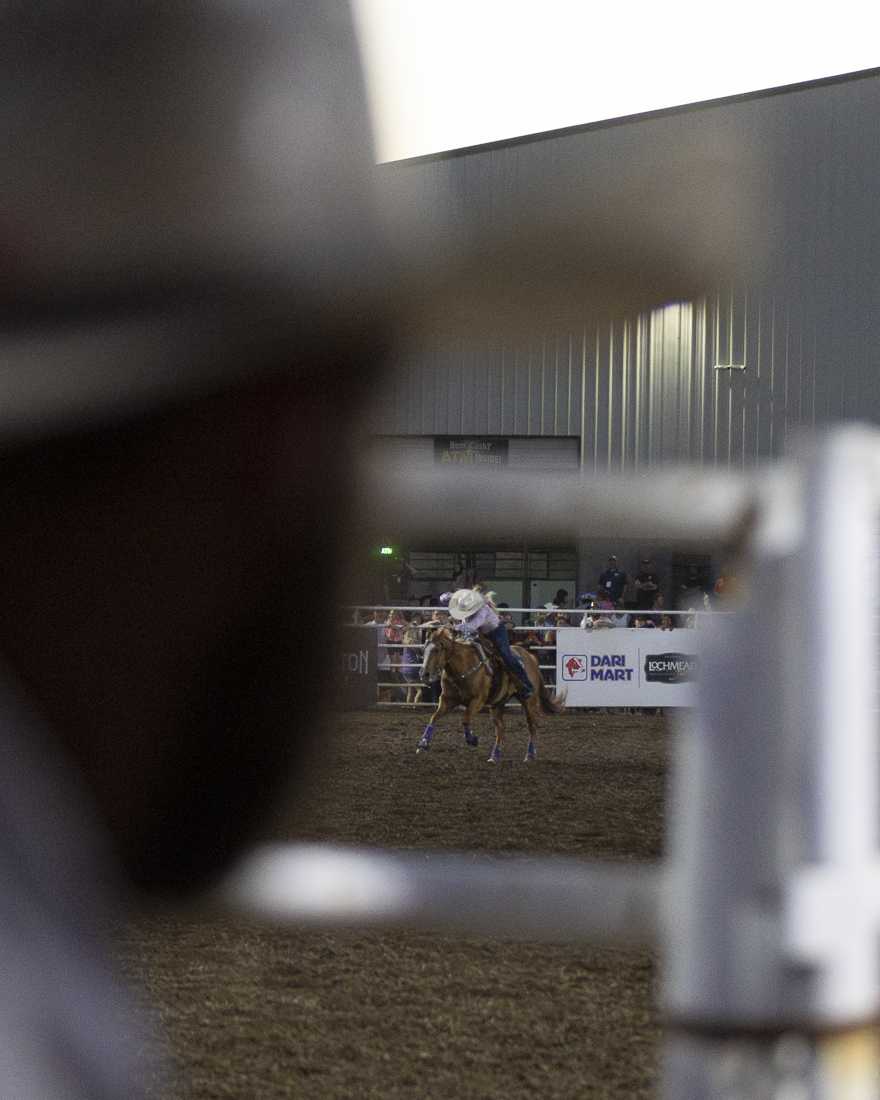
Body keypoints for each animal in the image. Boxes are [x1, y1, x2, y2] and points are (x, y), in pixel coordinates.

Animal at [418, 624, 567, 761]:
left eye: (436, 650)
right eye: (424, 650)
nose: (424, 674)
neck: (463, 666)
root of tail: (531, 657)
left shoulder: (478, 700)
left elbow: (465, 718)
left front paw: (472, 739)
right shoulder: (447, 699)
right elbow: (434, 717)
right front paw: (423, 743)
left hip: (529, 701)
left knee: (532, 726)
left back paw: (529, 755)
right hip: (497, 704)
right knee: (501, 728)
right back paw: (495, 756)